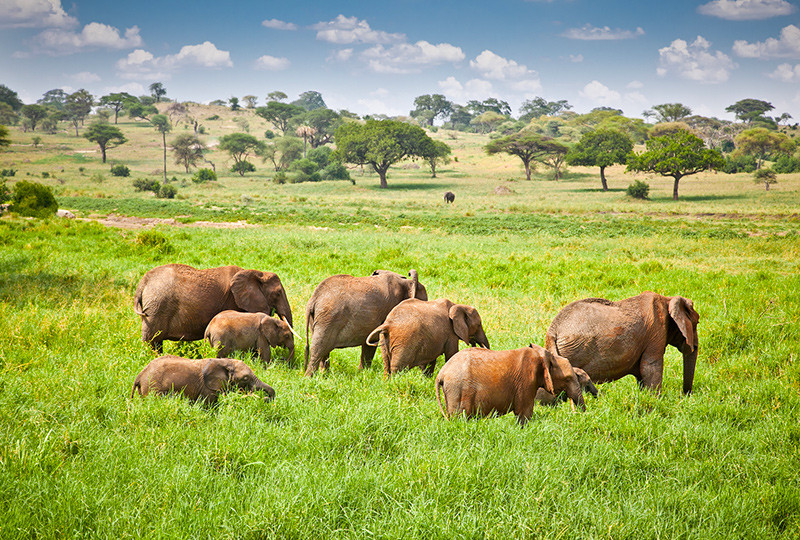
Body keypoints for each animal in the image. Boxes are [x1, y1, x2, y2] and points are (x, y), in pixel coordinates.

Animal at [131, 354, 276, 404]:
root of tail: (139, 375)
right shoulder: (207, 387)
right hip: (152, 387)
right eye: (245, 378)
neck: (224, 361)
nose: (265, 398)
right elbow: (209, 405)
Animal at [134, 264, 294, 352]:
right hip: (157, 308)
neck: (255, 272)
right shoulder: (233, 300)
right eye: (278, 293)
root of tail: (142, 283)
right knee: (152, 340)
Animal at [434, 346, 584, 426]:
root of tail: (441, 373)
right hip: (458, 389)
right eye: (568, 379)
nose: (579, 415)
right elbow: (524, 413)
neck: (544, 356)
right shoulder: (526, 381)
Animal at [548, 294, 696, 394]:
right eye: (696, 323)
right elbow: (650, 366)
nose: (685, 395)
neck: (668, 299)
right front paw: (655, 399)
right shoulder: (656, 332)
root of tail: (553, 330)